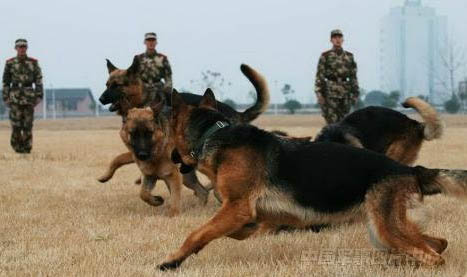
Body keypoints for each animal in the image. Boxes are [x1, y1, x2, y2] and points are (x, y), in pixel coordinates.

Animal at [97, 57, 268, 204]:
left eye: (117, 85)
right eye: (107, 84)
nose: (101, 99)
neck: (142, 99)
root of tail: (237, 113)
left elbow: (119, 158)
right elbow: (120, 159)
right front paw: (107, 176)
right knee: (202, 190)